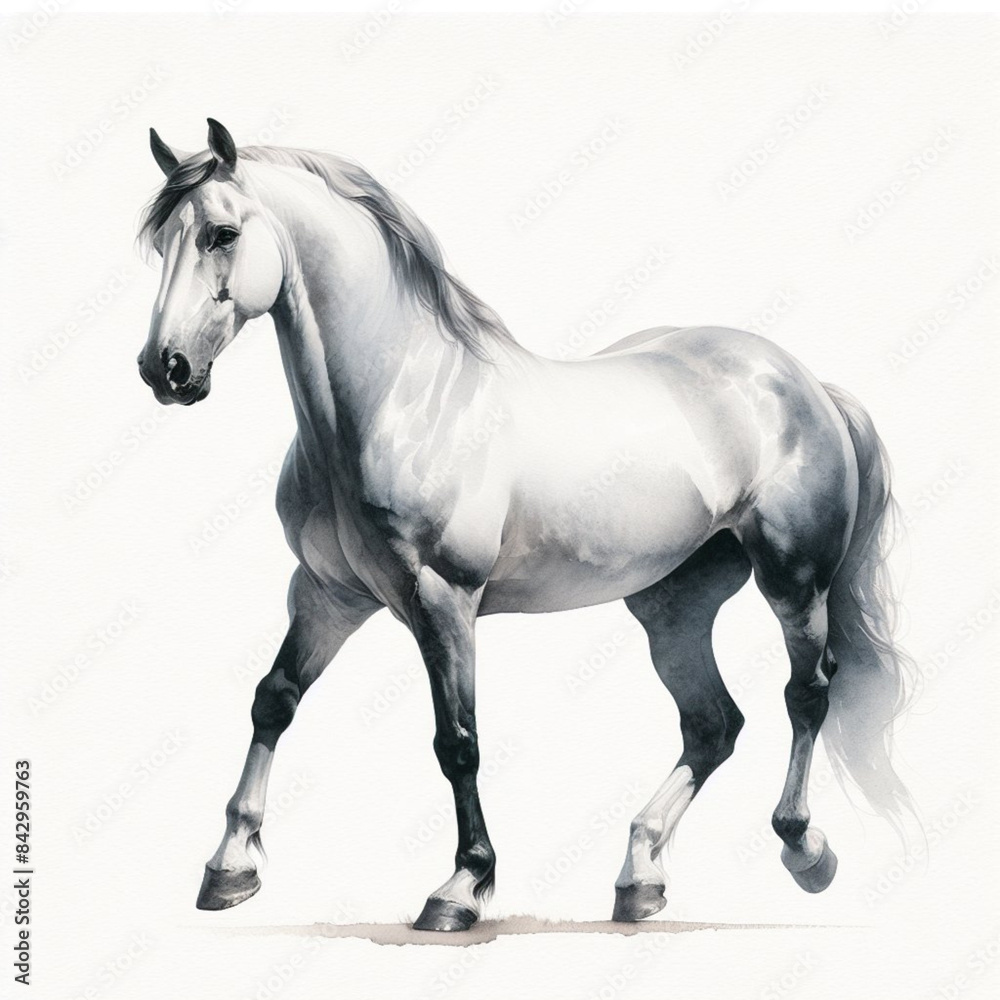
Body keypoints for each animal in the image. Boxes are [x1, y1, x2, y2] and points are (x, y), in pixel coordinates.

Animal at [136, 119, 915, 932]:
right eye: (161, 242)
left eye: (222, 233)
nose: (166, 369)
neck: (401, 401)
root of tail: (804, 382)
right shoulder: (327, 594)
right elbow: (274, 699)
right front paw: (229, 867)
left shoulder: (442, 599)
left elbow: (458, 743)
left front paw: (461, 887)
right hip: (672, 606)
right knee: (712, 724)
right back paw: (640, 876)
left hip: (794, 582)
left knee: (806, 695)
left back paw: (803, 849)